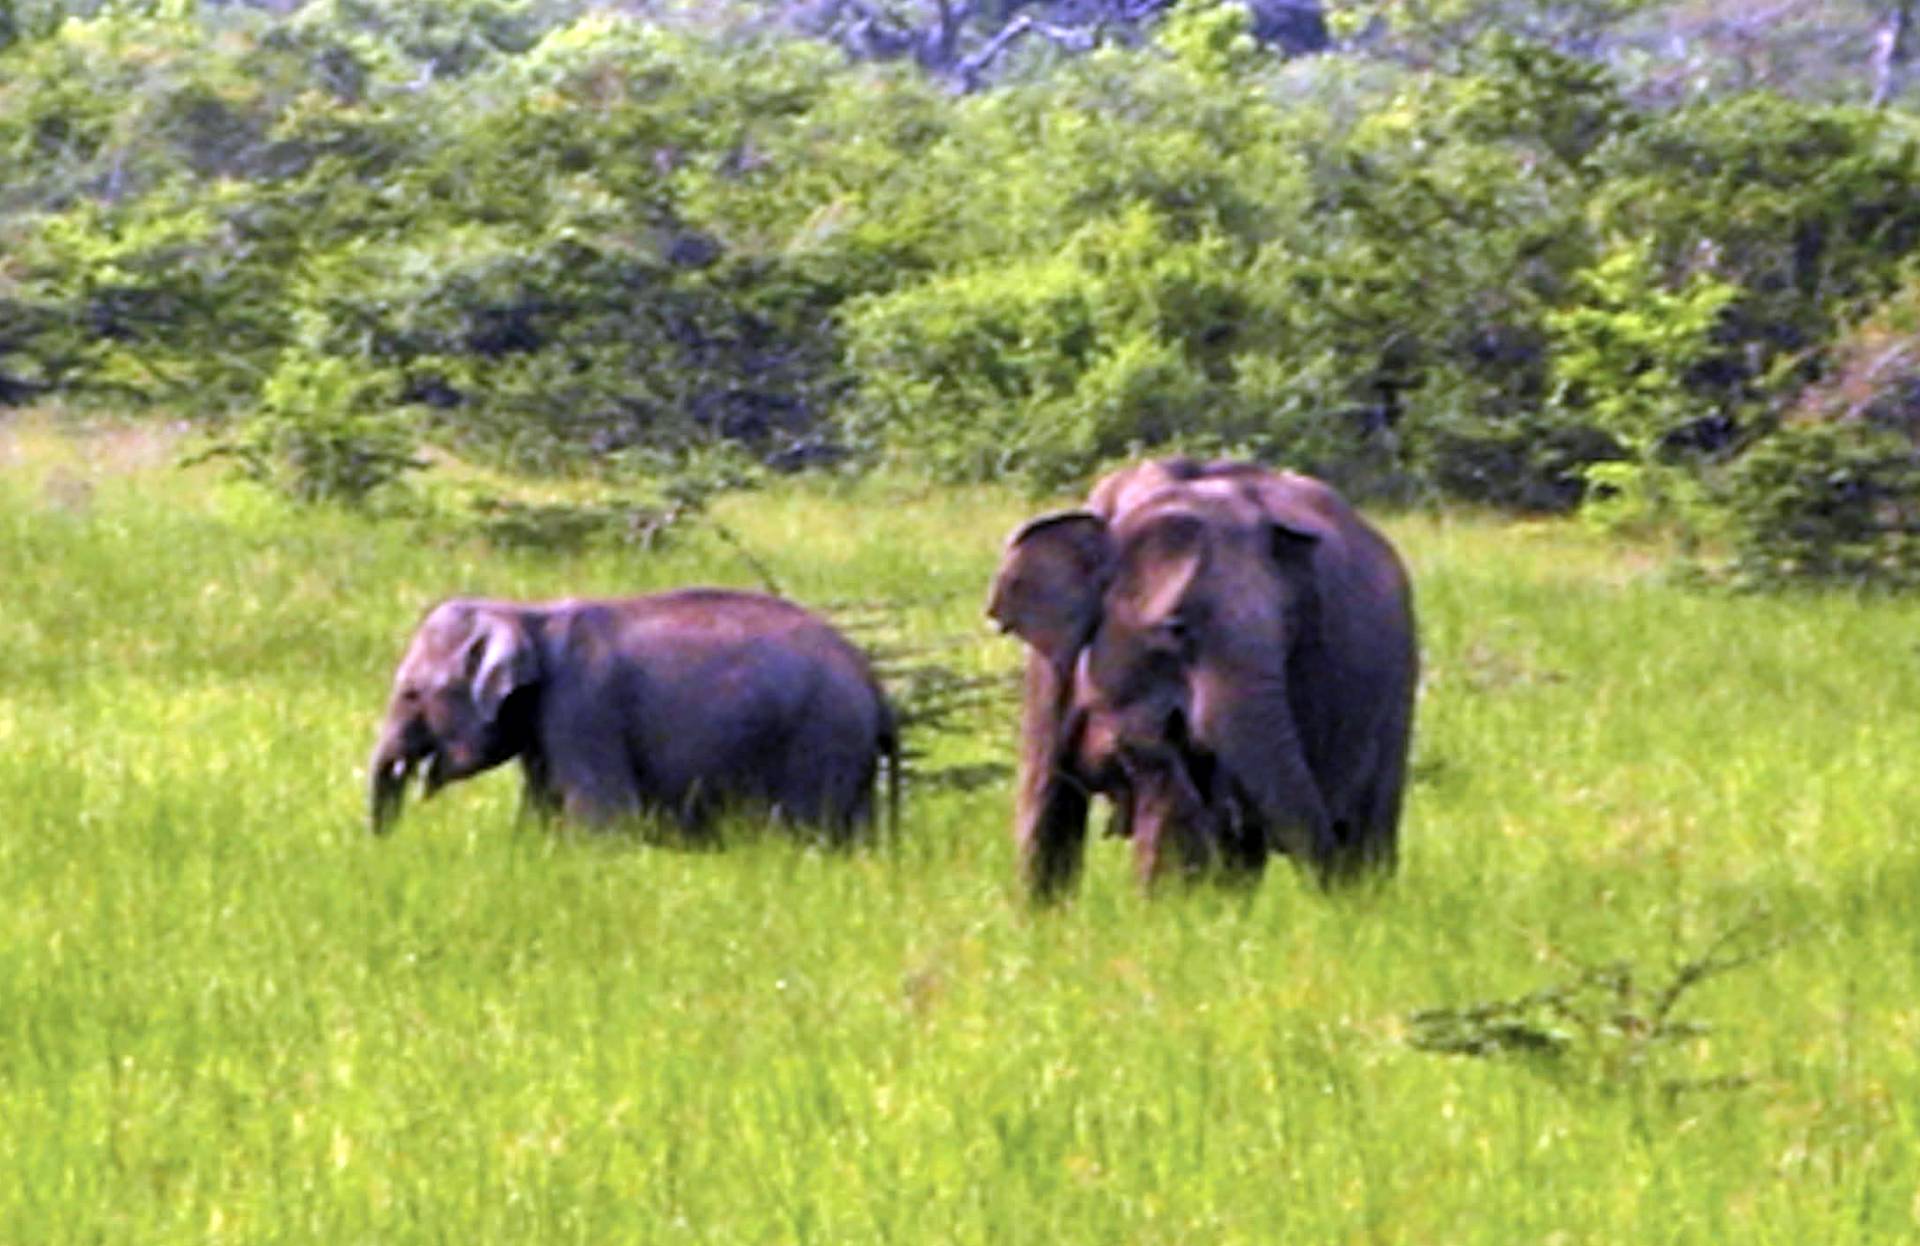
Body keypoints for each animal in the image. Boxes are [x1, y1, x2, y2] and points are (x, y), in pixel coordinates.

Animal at [366, 587, 898, 840]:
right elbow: (541, 813)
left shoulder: (584, 707)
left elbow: (603, 819)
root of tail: (876, 685)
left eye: (411, 693)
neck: (526, 613)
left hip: (822, 736)